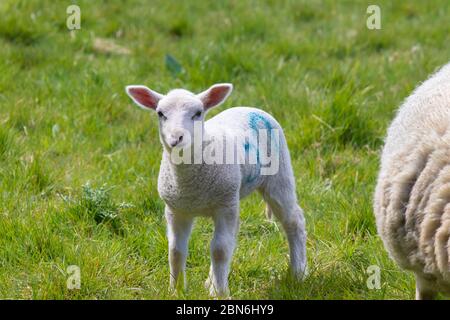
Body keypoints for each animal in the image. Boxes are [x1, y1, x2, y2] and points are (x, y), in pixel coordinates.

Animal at [125, 83, 308, 298]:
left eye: (198, 113)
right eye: (160, 113)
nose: (176, 138)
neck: (190, 184)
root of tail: (250, 108)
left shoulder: (224, 206)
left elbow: (219, 250)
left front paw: (221, 293)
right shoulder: (176, 210)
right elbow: (176, 251)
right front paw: (176, 290)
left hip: (278, 177)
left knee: (294, 220)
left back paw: (298, 273)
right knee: (233, 234)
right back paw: (211, 282)